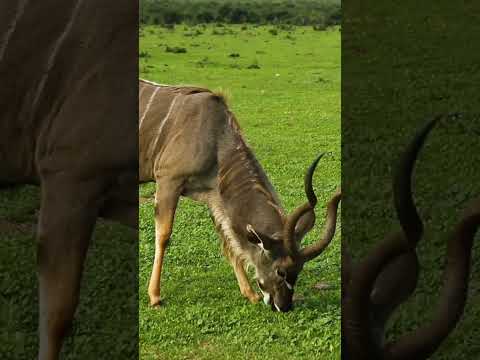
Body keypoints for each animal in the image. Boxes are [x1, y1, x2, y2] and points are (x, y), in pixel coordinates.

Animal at [139, 79, 342, 312]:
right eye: (280, 271)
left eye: (298, 271)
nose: (283, 306)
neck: (217, 140)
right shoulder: (168, 181)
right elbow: (163, 236)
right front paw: (155, 296)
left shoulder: (214, 197)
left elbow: (228, 240)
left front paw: (250, 294)